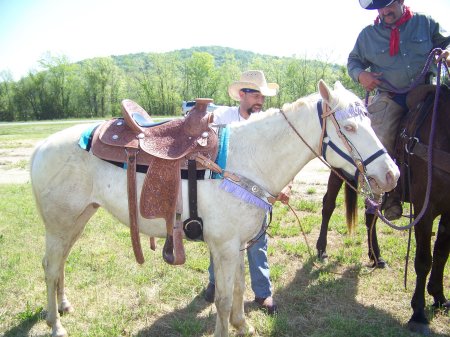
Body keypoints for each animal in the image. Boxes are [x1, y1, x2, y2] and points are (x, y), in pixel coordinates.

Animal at [30, 80, 398, 334]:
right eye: (349, 127)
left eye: (369, 121)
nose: (391, 174)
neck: (248, 159)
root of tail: (39, 147)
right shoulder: (223, 246)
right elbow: (221, 297)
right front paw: (230, 327)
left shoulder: (237, 245)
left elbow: (238, 287)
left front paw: (243, 325)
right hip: (59, 223)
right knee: (50, 265)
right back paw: (55, 324)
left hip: (78, 218)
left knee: (60, 264)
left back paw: (63, 306)